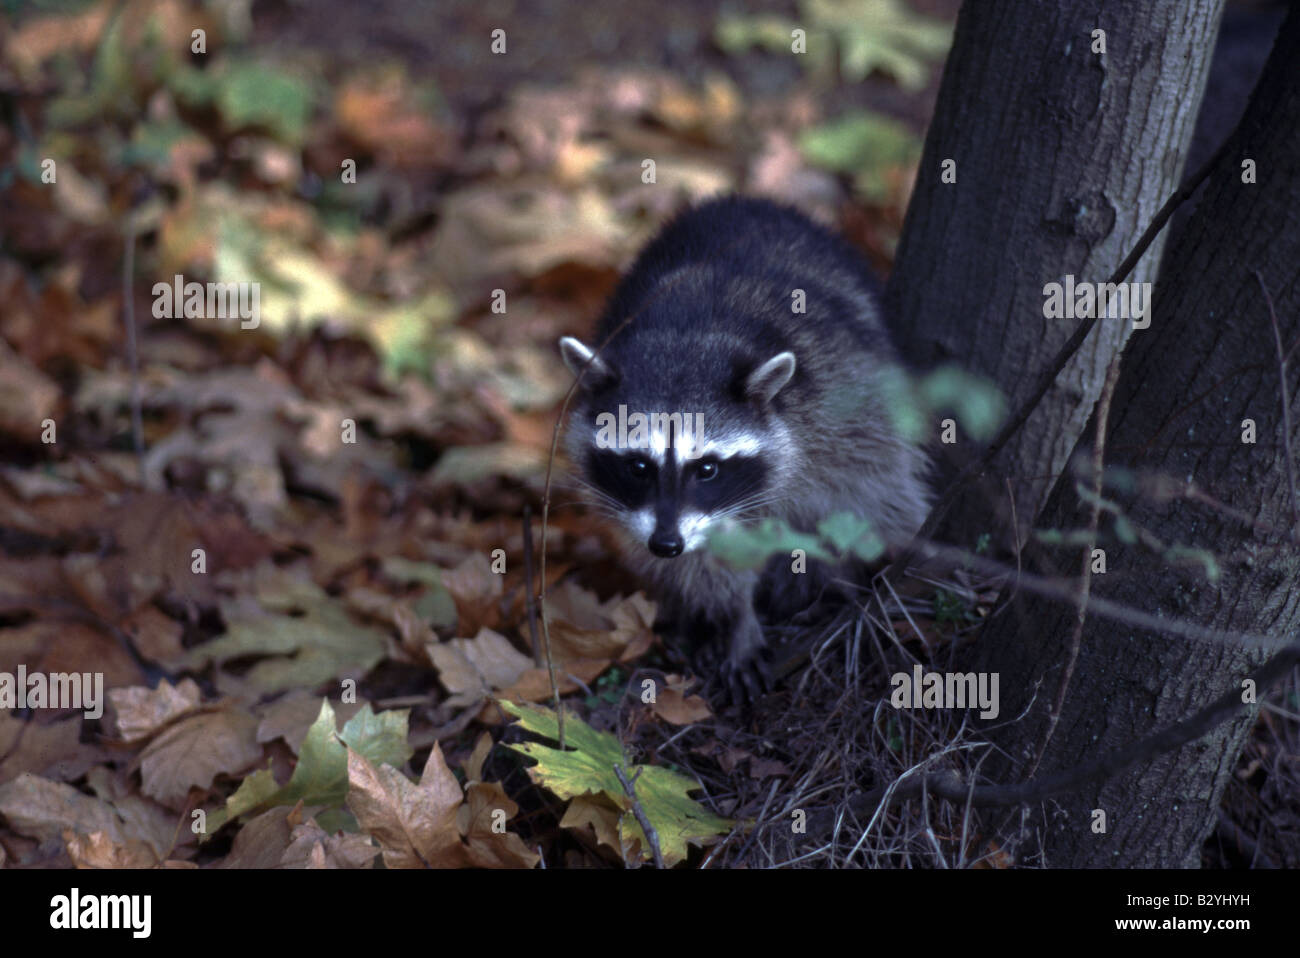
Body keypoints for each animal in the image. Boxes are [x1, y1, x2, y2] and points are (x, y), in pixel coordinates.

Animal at [558, 195, 929, 700]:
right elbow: (706, 564)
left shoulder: (843, 400)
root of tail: (749, 199)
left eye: (707, 469)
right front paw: (735, 614)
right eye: (637, 466)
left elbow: (868, 494)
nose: (667, 544)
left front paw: (848, 572)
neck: (686, 338)